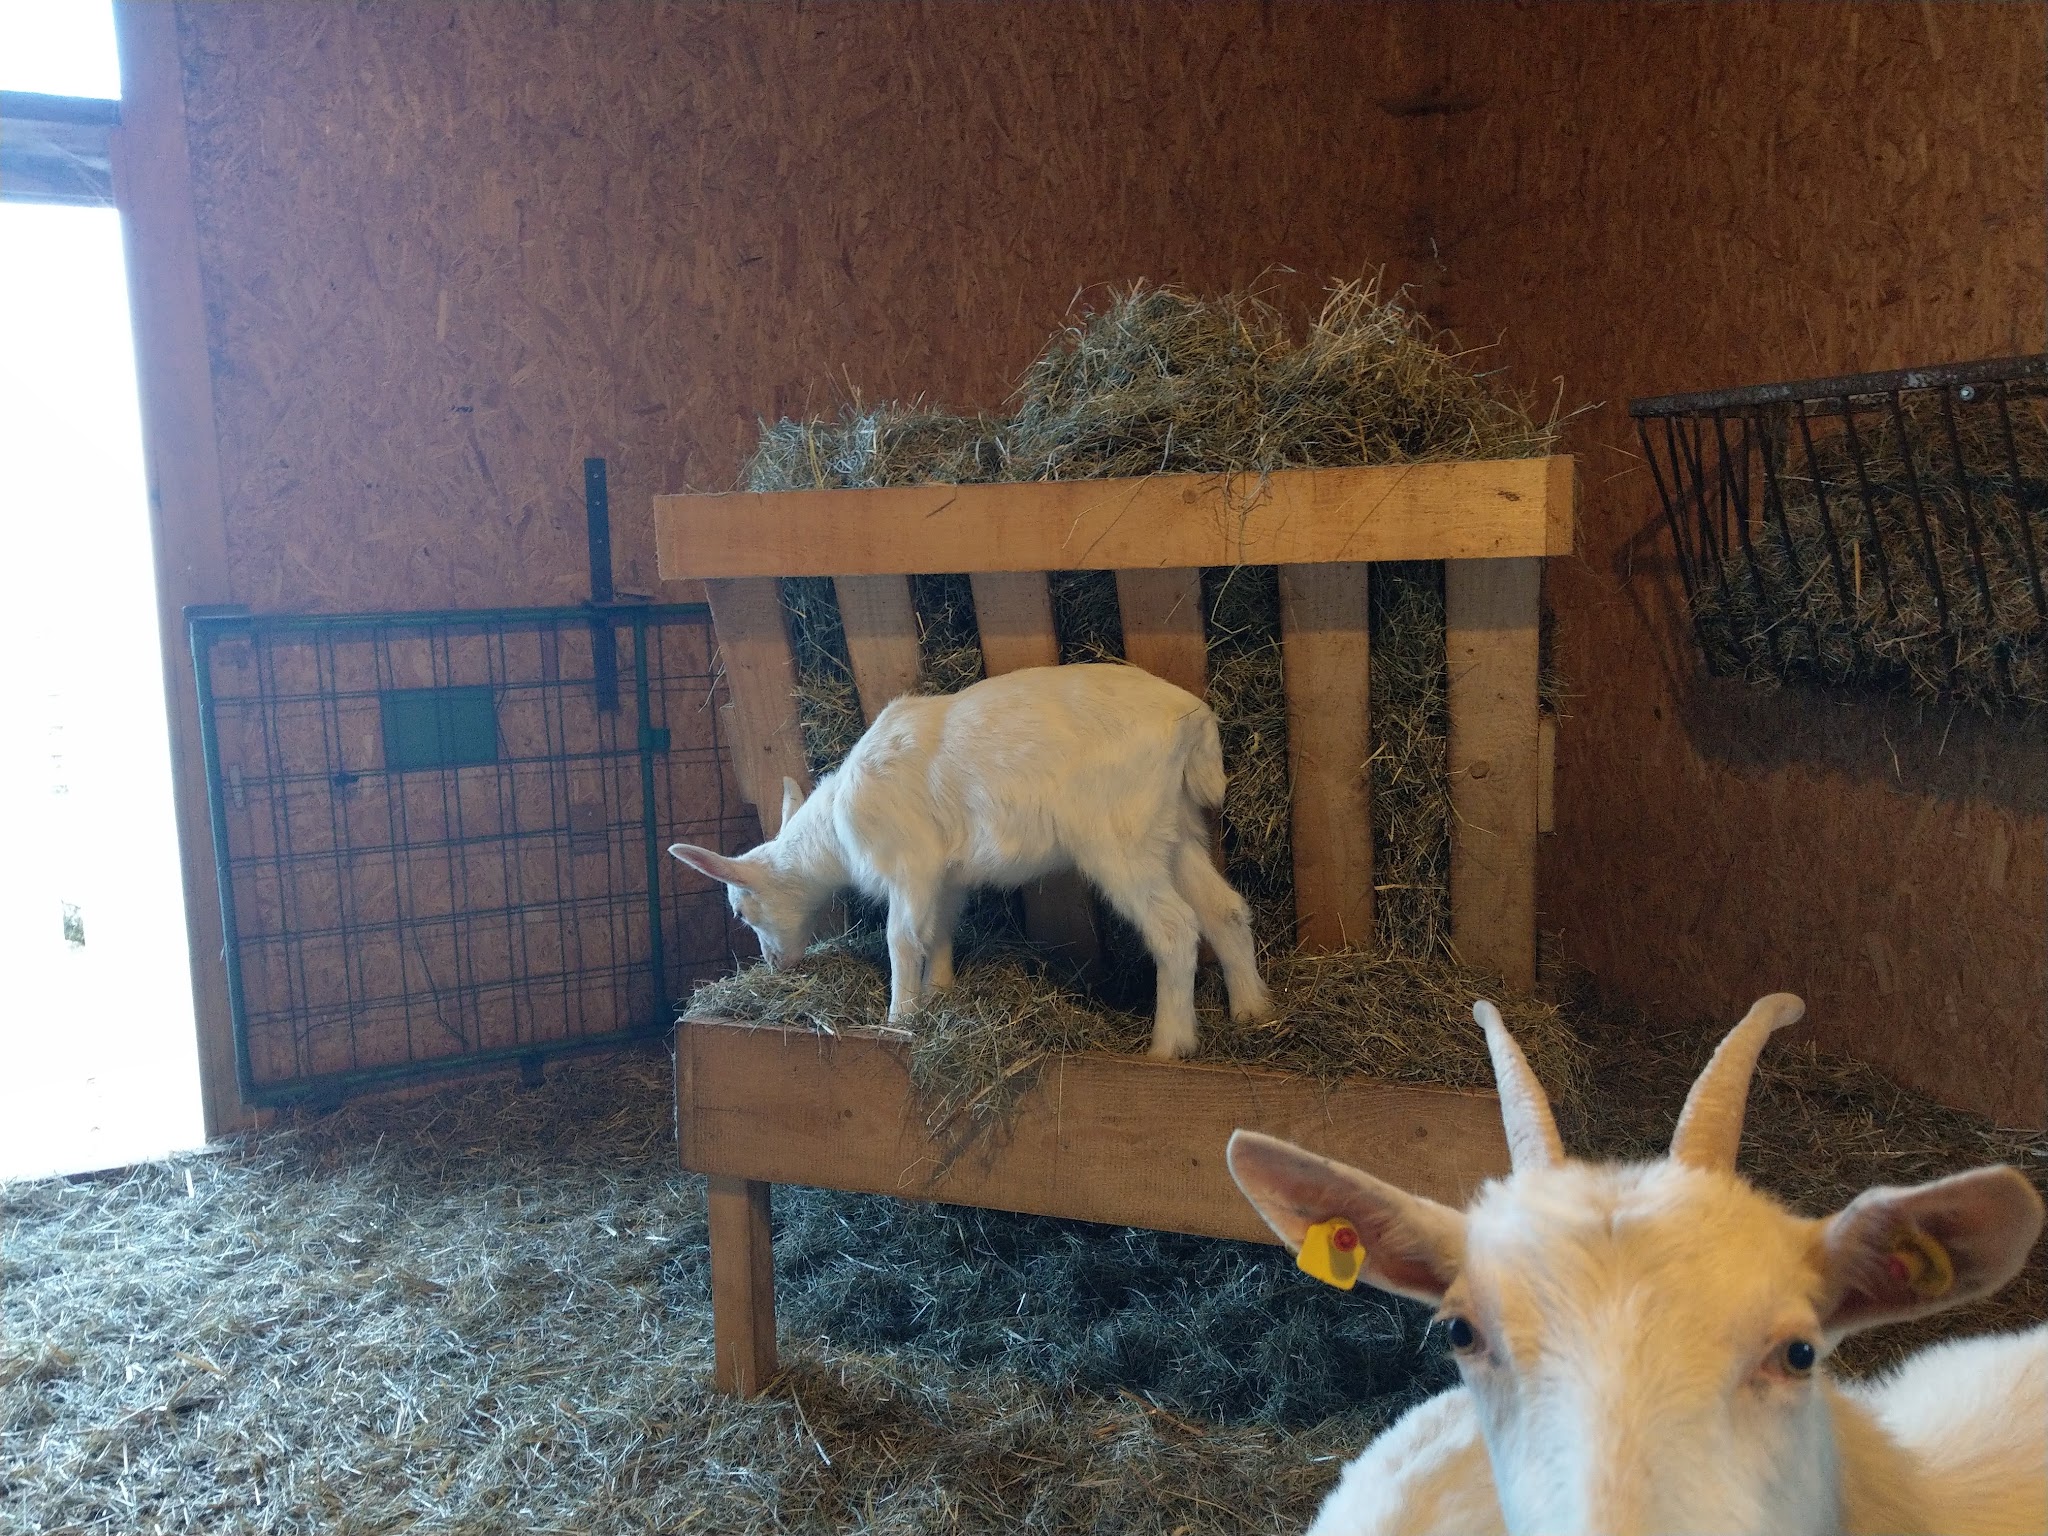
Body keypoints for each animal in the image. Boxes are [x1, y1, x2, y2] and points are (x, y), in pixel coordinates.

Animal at [669, 662, 1272, 1058]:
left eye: (741, 912)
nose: (775, 965)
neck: (837, 829)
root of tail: (1193, 722)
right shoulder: (945, 876)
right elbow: (938, 931)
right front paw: (940, 993)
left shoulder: (909, 862)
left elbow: (901, 938)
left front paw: (899, 1017)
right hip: (1175, 827)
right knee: (1224, 909)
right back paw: (1252, 1011)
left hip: (1120, 836)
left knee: (1174, 927)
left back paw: (1169, 1046)